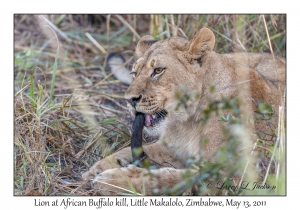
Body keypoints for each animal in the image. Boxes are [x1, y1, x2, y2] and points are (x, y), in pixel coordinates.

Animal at [82, 27, 286, 195]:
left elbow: (173, 179)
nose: (129, 100)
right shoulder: (170, 150)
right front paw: (97, 168)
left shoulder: (237, 175)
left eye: (158, 70)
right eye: (134, 73)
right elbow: (130, 150)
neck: (189, 122)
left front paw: (116, 180)